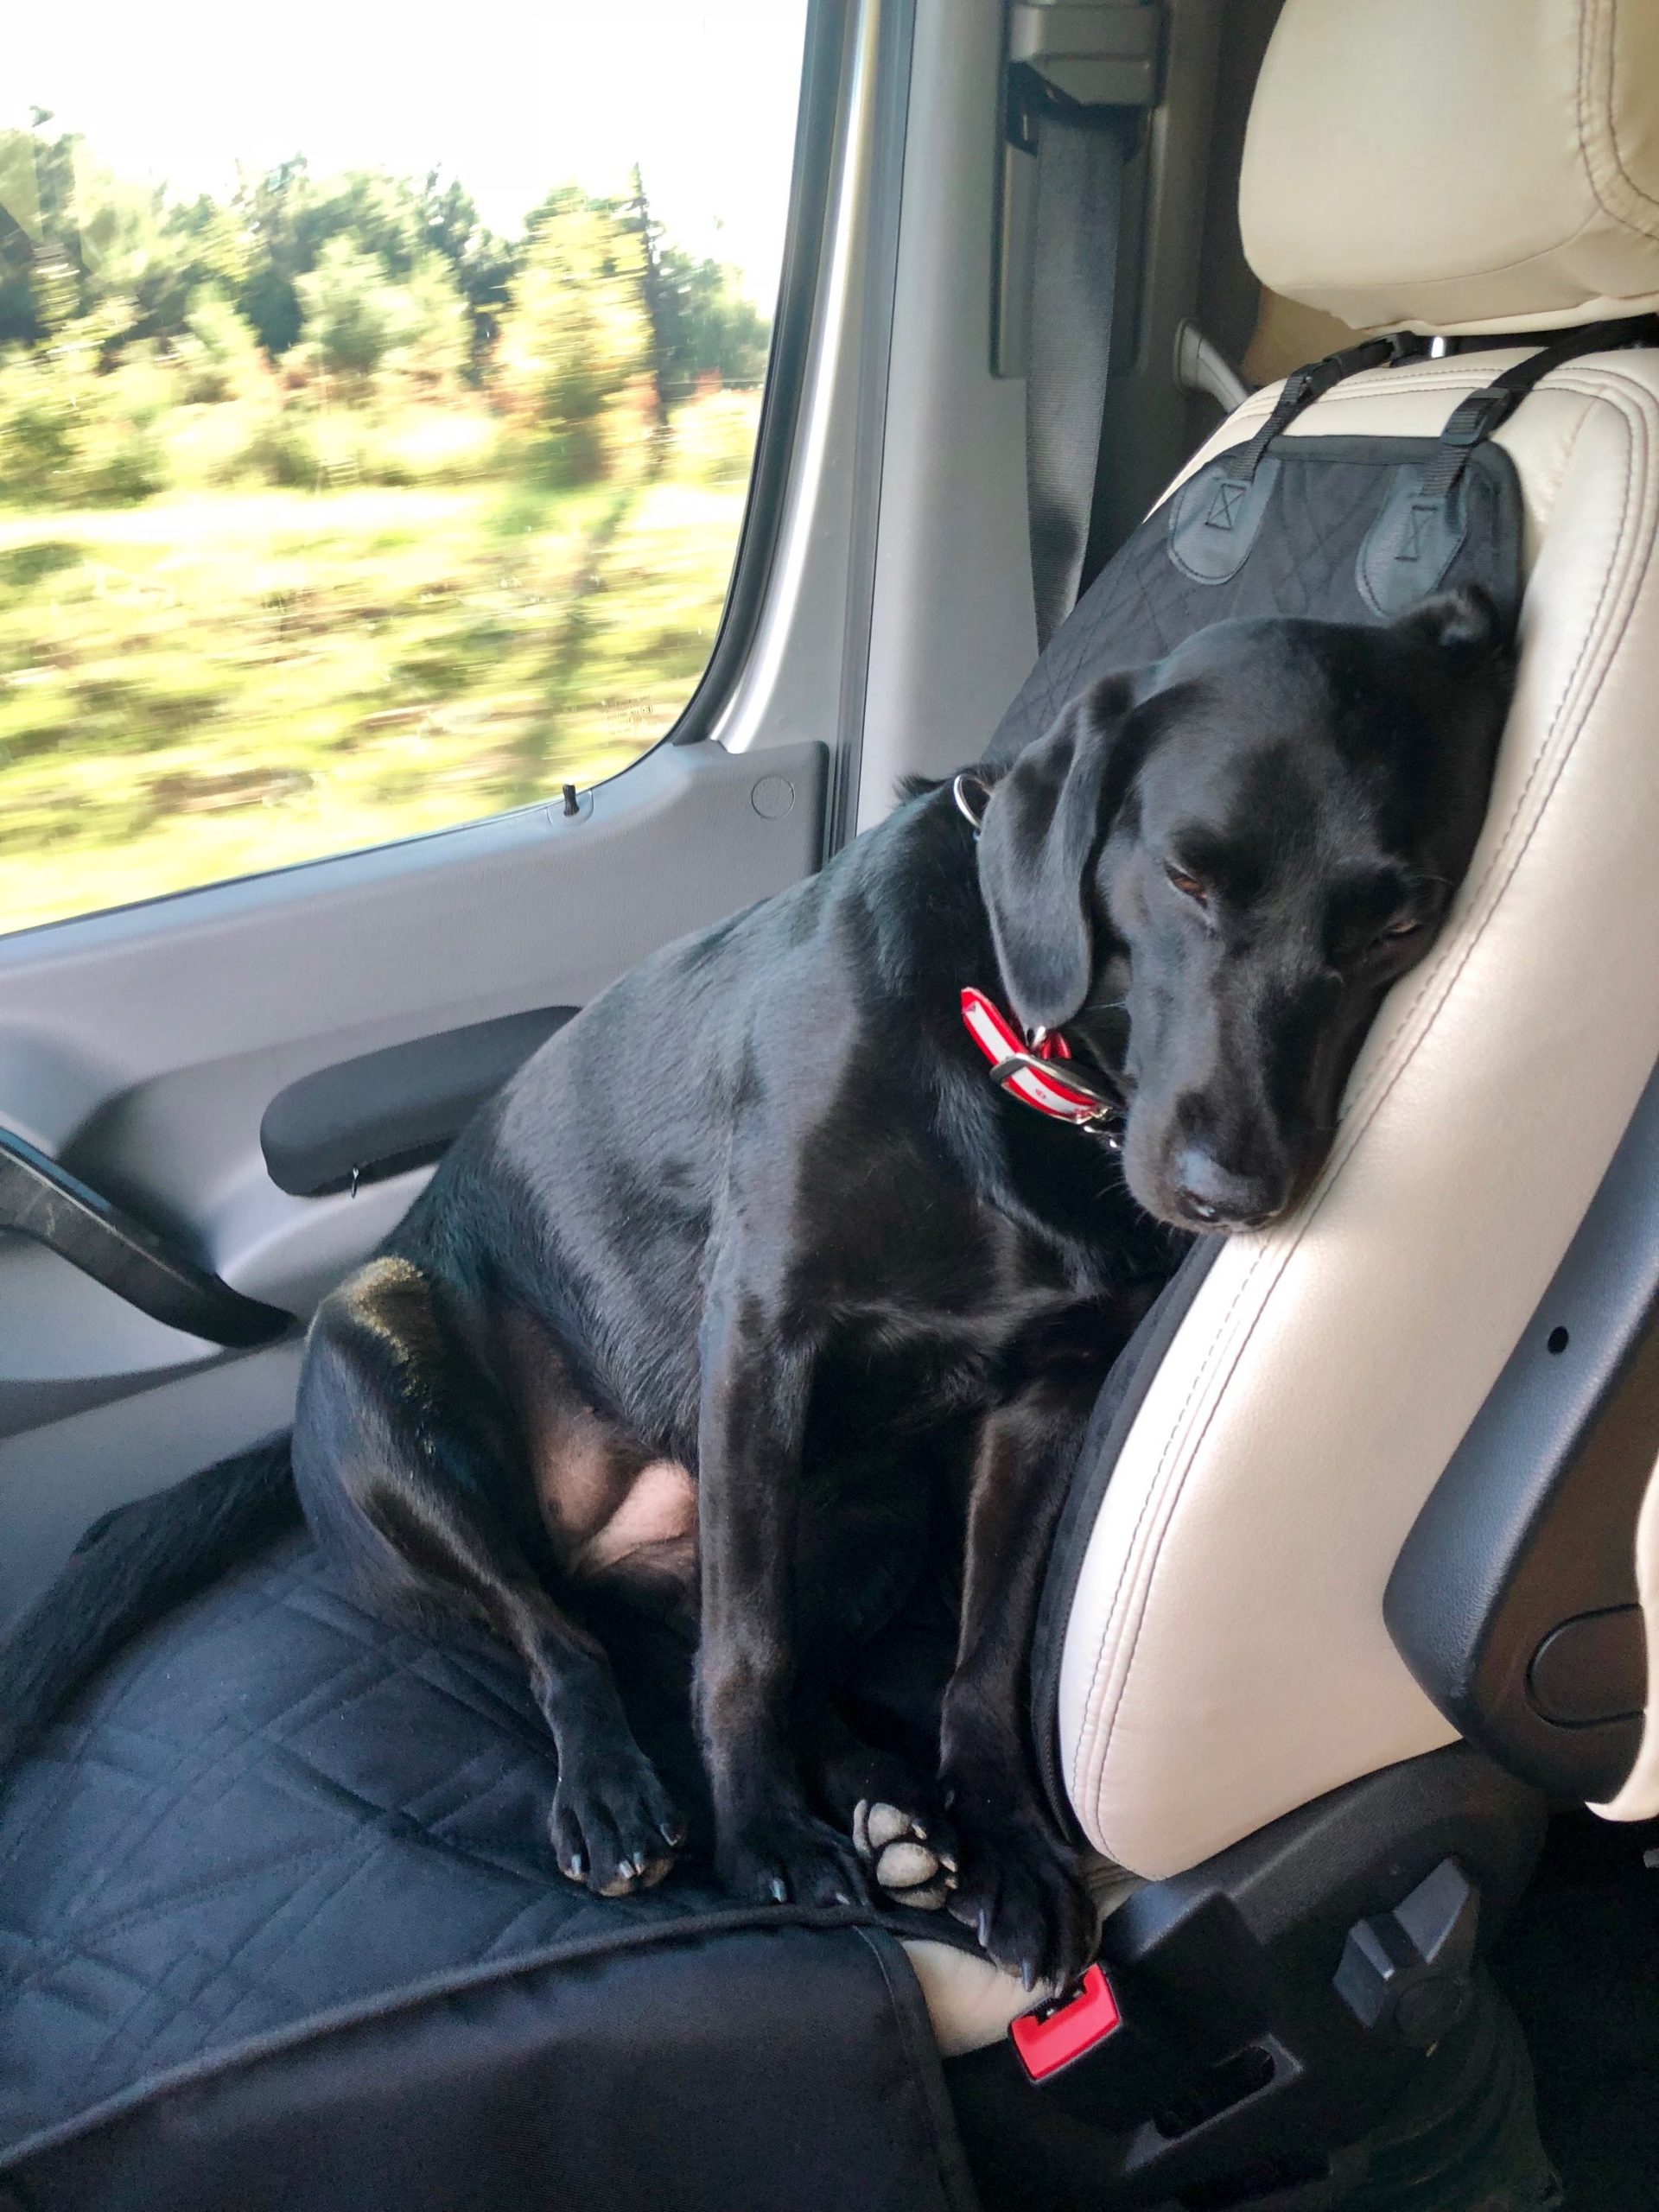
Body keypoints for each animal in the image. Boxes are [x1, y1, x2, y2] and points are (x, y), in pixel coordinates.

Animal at [0, 588, 1513, 1989]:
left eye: (1403, 922)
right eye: (1187, 878)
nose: (1233, 1190)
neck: (1011, 1052)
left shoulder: (1046, 1402)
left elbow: (976, 1657)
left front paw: (1006, 1839)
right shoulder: (763, 1343)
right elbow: (741, 1656)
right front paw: (762, 1839)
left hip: (874, 1510)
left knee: (731, 1639)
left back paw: (892, 1811)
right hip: (379, 1356)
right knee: (562, 1637)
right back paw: (621, 1789)